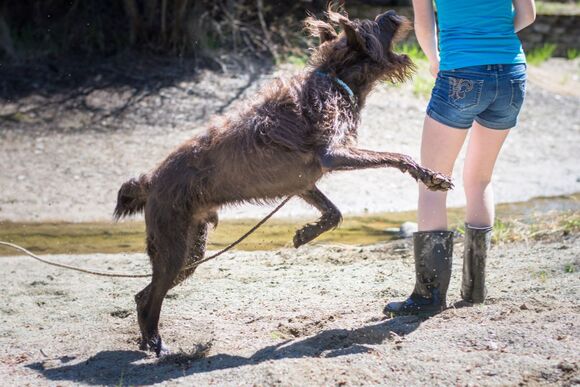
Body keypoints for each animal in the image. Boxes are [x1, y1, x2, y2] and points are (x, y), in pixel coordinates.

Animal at [114, 6, 454, 358]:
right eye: (371, 26)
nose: (390, 12)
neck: (337, 78)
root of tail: (151, 180)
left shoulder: (304, 183)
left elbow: (334, 213)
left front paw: (305, 234)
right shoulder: (333, 155)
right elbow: (398, 155)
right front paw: (429, 176)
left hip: (191, 250)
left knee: (144, 294)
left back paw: (148, 341)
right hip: (173, 246)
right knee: (153, 296)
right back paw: (157, 344)